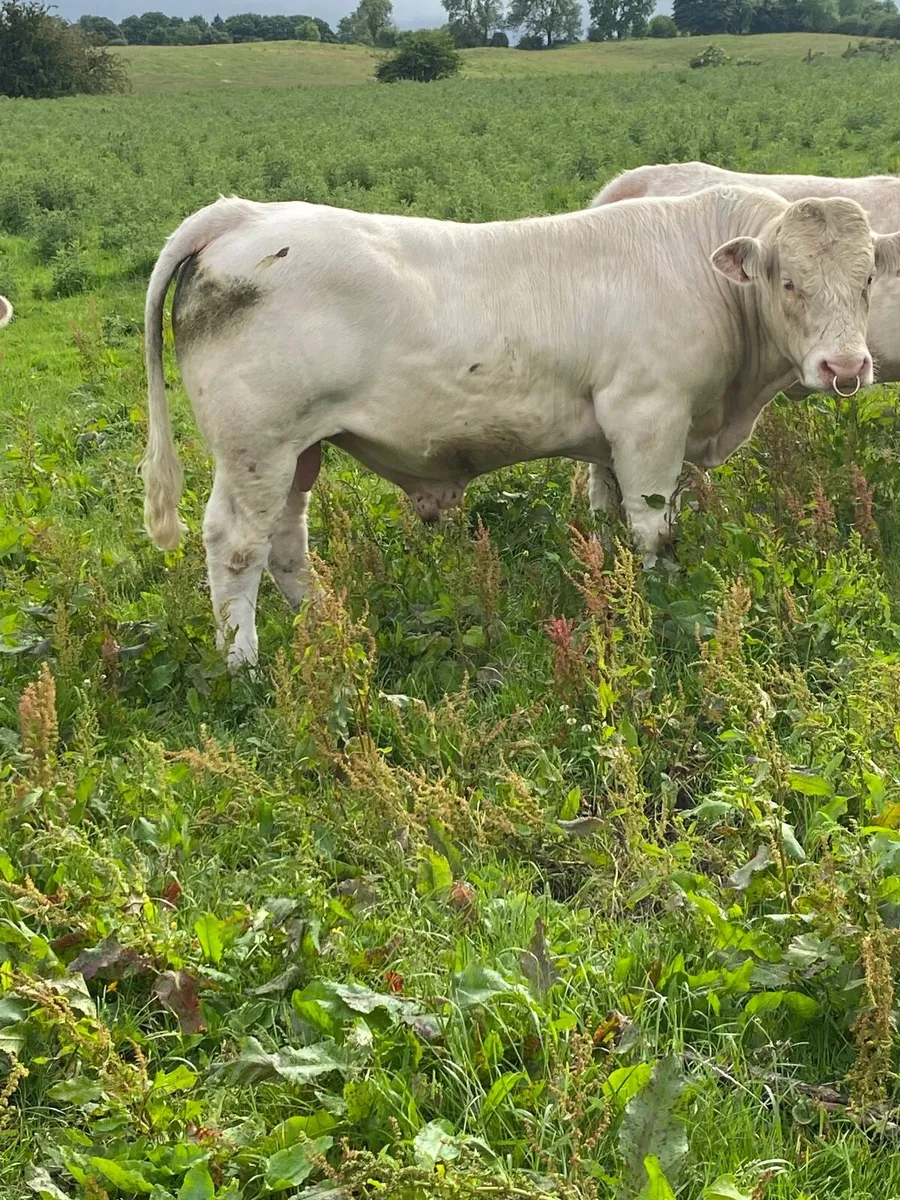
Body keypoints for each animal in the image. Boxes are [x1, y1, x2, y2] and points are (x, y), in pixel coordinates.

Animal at [140, 188, 900, 666]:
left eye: (867, 279)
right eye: (788, 281)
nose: (845, 366)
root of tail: (242, 214)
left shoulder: (622, 435)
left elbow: (610, 511)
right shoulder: (649, 414)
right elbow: (656, 524)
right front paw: (660, 600)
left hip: (300, 450)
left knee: (286, 543)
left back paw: (327, 623)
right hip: (257, 447)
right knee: (237, 546)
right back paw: (243, 662)